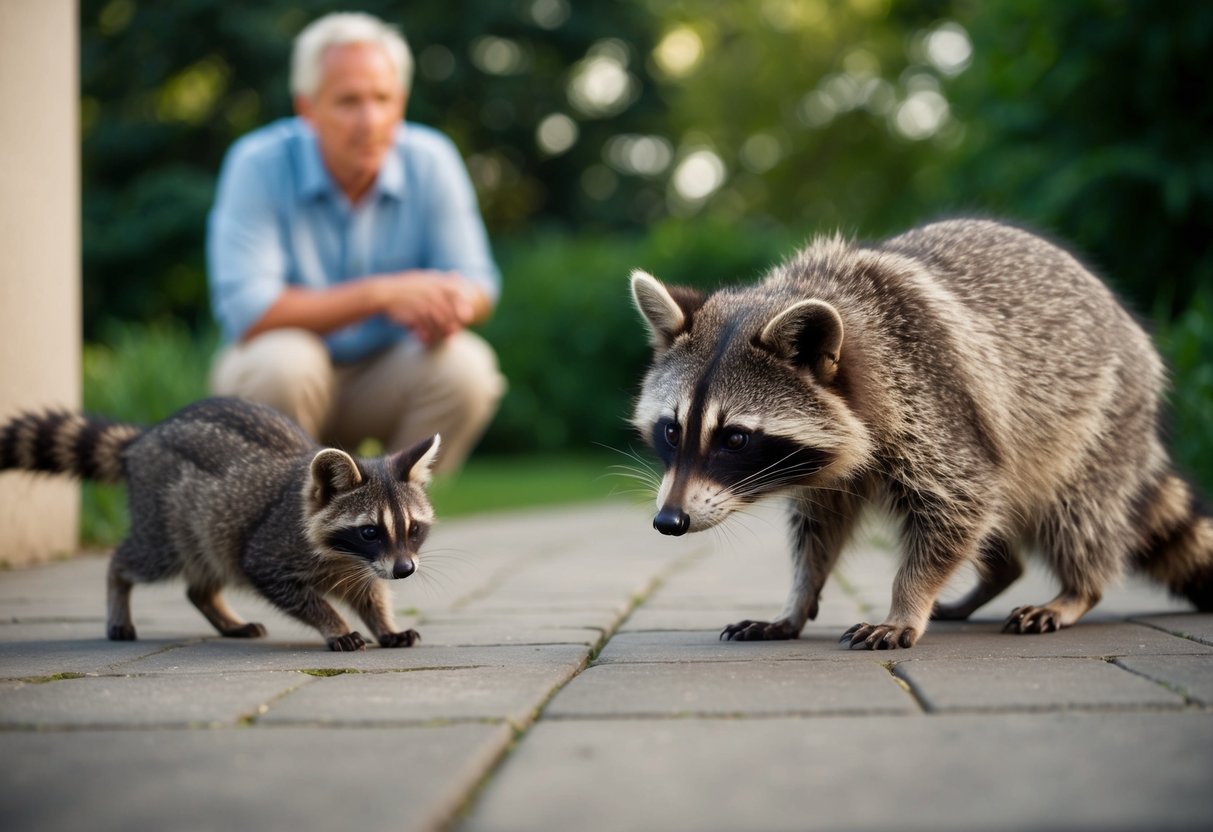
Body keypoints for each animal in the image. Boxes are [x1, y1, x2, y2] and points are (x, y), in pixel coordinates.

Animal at [0, 397, 440, 651]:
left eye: (413, 529)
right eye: (370, 531)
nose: (405, 570)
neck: (347, 557)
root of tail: (141, 440)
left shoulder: (364, 567)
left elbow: (371, 595)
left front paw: (384, 624)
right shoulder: (273, 546)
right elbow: (295, 592)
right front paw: (334, 623)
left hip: (212, 531)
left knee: (202, 580)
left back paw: (220, 613)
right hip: (168, 517)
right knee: (139, 558)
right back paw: (118, 586)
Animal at [630, 218, 1213, 650]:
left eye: (734, 439)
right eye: (672, 430)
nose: (668, 521)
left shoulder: (934, 401)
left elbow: (960, 502)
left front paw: (907, 601)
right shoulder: (833, 470)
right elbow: (818, 530)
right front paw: (796, 599)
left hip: (1099, 416)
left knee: (1078, 512)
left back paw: (1077, 591)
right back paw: (996, 577)